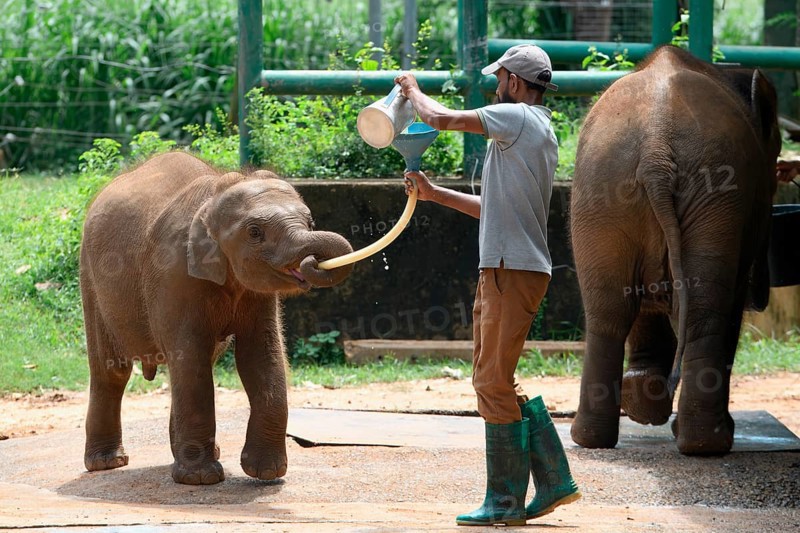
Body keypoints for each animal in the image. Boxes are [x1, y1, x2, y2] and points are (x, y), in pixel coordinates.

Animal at [80, 152, 353, 484]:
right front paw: (201, 479)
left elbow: (261, 355)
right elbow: (189, 356)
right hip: (91, 281)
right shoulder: (173, 273)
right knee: (112, 371)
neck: (213, 198)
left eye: (310, 222)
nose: (313, 261)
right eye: (255, 232)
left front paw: (266, 473)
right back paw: (107, 463)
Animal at [569, 46, 781, 455]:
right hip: (709, 191)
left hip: (601, 191)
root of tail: (656, 146)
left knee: (608, 312)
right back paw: (709, 442)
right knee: (704, 312)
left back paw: (596, 436)